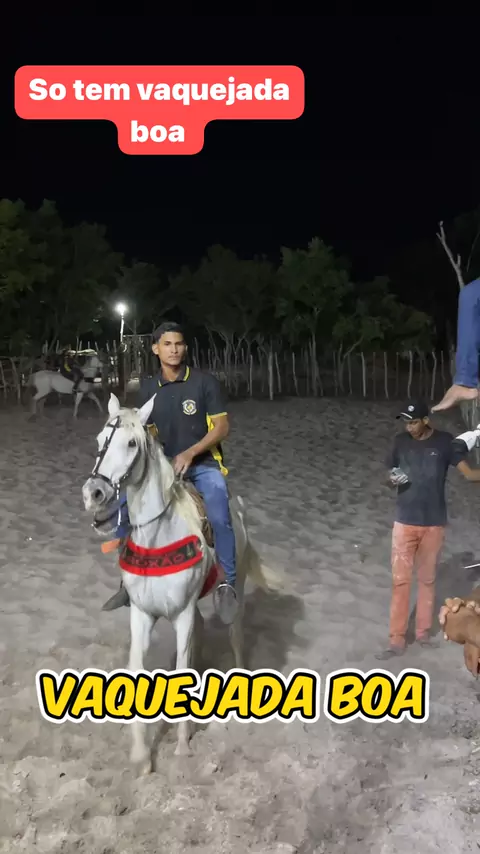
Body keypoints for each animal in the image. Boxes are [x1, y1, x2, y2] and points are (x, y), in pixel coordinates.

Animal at [82, 392, 282, 774]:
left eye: (132, 443)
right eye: (99, 440)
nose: (94, 493)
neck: (159, 536)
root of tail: (238, 508)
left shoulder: (183, 614)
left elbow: (182, 668)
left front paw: (183, 745)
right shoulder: (142, 615)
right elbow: (138, 670)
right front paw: (142, 756)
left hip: (235, 592)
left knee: (235, 637)